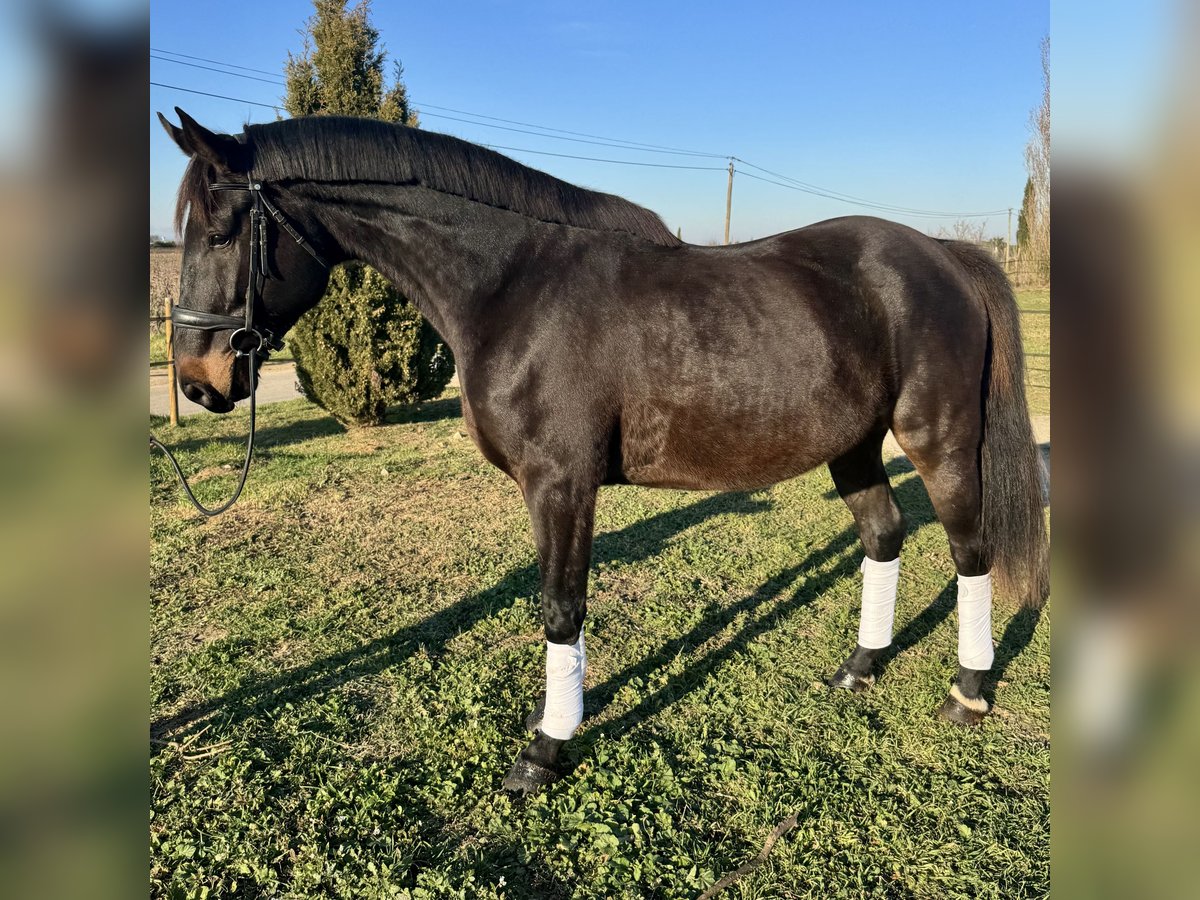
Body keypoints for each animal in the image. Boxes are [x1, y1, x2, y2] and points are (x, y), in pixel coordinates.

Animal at [157, 109, 1041, 792]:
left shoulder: (561, 484)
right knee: (884, 536)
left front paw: (545, 751)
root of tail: (943, 254)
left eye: (220, 230)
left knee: (970, 552)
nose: (198, 382)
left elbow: (560, 609)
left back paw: (967, 692)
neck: (514, 285)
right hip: (853, 444)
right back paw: (860, 668)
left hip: (938, 439)